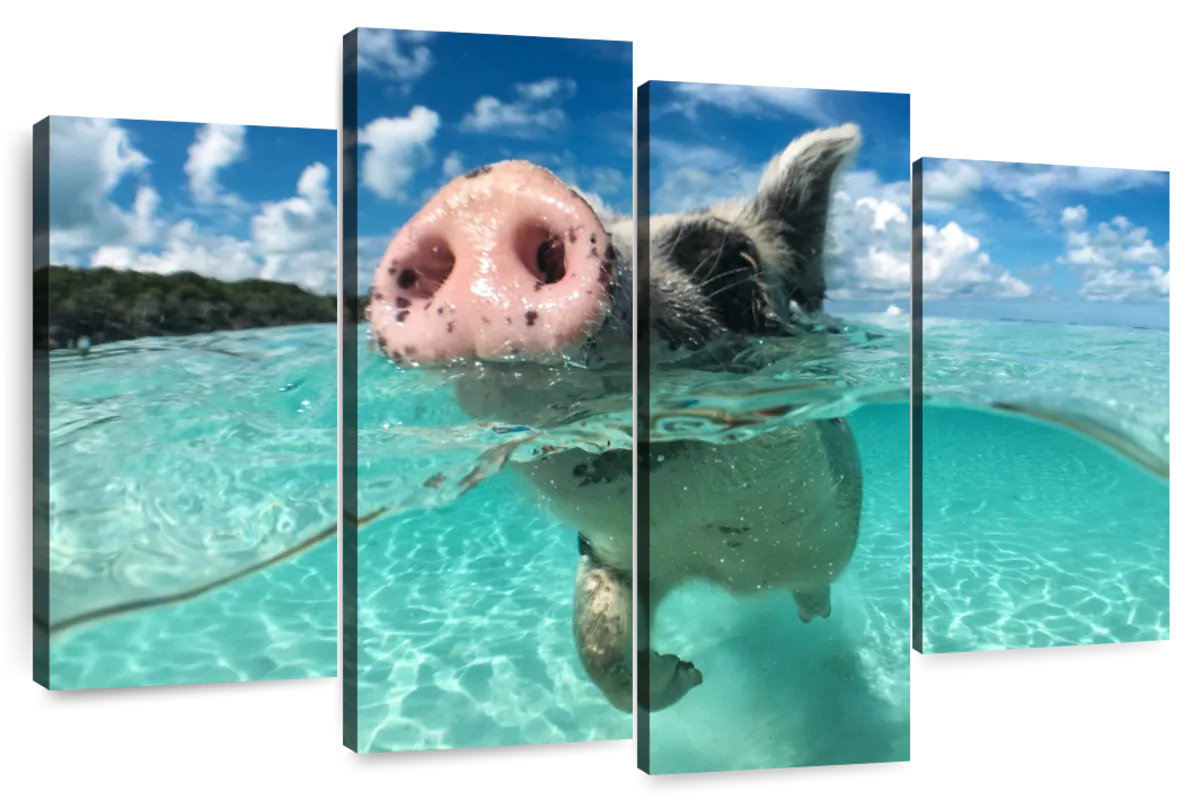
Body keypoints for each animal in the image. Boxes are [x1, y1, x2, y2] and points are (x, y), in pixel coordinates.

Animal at [365, 123, 865, 713]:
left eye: (727, 259)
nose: (488, 194)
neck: (721, 559)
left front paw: (695, 671)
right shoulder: (608, 553)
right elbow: (598, 641)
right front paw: (687, 674)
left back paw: (815, 615)